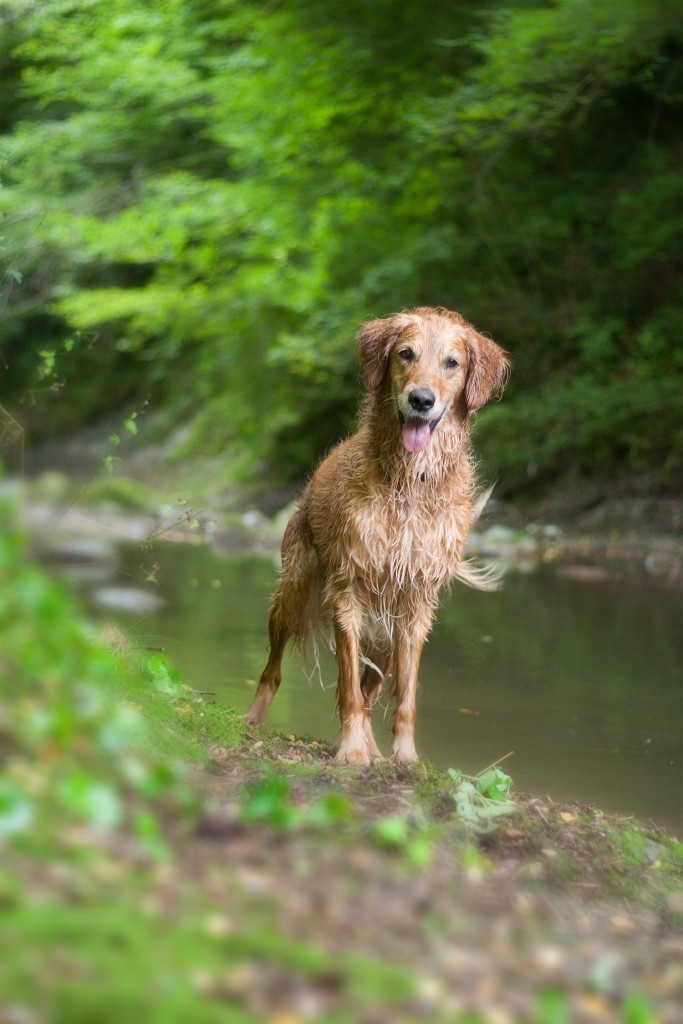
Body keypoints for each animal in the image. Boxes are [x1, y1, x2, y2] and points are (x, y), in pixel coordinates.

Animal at [244, 307, 507, 765]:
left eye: (452, 363)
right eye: (406, 354)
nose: (421, 400)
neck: (409, 481)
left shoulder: (415, 604)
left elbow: (403, 696)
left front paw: (404, 756)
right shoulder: (348, 589)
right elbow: (348, 687)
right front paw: (351, 751)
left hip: (385, 632)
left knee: (371, 691)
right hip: (293, 589)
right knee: (273, 669)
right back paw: (254, 719)